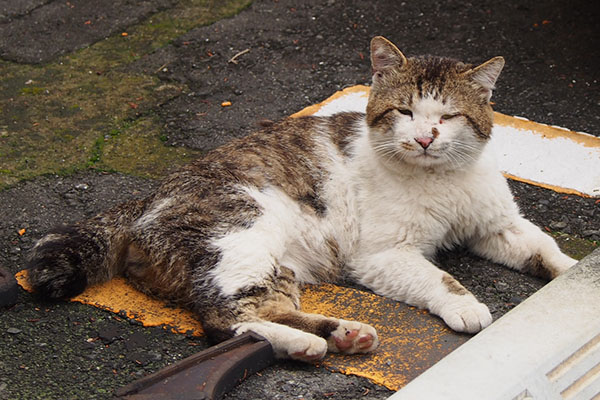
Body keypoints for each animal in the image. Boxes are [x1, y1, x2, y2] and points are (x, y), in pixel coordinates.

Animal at [27, 37, 576, 360]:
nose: (423, 138)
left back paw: (341, 334)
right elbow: (439, 276)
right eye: (404, 111)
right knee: (227, 322)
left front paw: (575, 275)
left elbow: (545, 250)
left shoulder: (498, 225)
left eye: (447, 117)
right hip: (241, 237)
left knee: (262, 312)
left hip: (277, 267)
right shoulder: (384, 255)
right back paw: (308, 343)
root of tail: (149, 199)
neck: (441, 178)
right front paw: (465, 305)